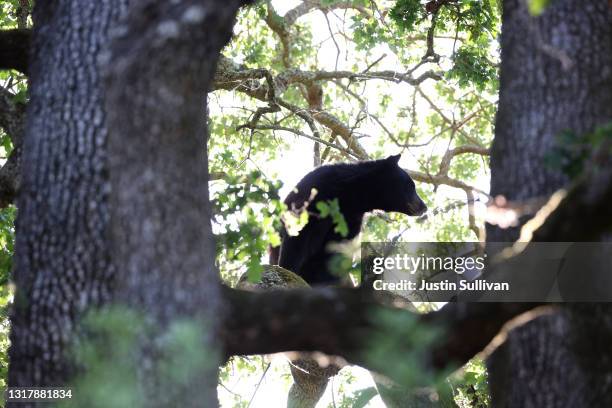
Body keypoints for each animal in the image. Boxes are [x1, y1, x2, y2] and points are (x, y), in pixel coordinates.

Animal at [270, 153, 428, 284]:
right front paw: (289, 270)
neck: (351, 196)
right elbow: (299, 232)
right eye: (411, 185)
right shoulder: (315, 194)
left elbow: (335, 250)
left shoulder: (350, 219)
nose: (424, 206)